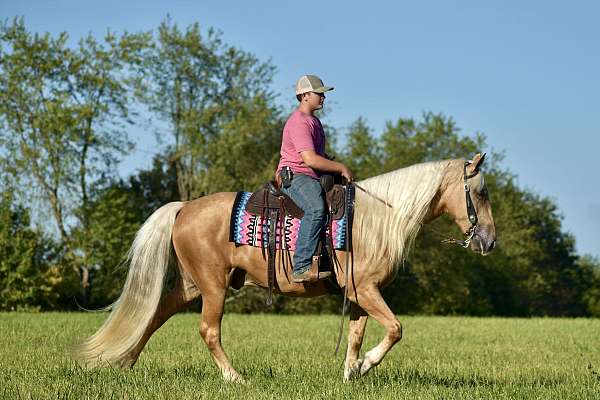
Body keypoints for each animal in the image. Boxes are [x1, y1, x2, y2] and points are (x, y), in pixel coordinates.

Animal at [74, 152, 496, 382]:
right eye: (481, 192)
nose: (489, 241)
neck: (377, 218)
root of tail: (184, 207)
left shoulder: (359, 293)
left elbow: (357, 336)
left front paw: (351, 372)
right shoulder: (367, 290)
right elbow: (395, 329)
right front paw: (365, 367)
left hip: (193, 285)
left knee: (157, 313)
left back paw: (126, 362)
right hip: (212, 286)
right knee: (209, 330)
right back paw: (235, 378)